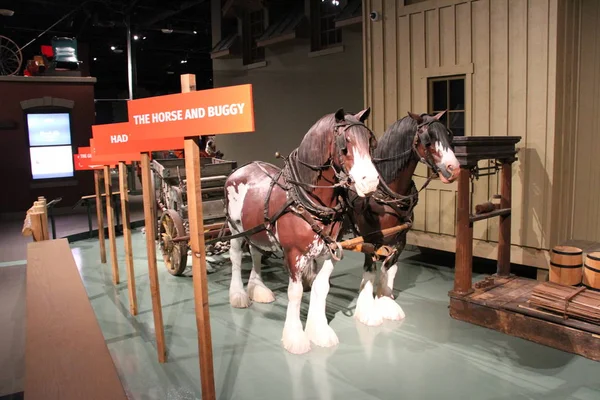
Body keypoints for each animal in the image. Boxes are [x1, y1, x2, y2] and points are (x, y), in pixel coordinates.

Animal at [223, 108, 382, 354]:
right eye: (344, 146)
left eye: (369, 143)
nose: (372, 181)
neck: (306, 199)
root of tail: (240, 169)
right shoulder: (294, 254)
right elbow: (295, 293)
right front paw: (295, 336)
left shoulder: (328, 253)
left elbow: (321, 288)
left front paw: (319, 331)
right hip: (235, 227)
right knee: (236, 257)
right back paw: (238, 294)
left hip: (257, 231)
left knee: (257, 254)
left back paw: (257, 288)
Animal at [346, 111, 460, 326]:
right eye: (428, 139)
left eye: (449, 136)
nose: (454, 169)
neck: (384, 193)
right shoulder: (368, 239)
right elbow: (370, 269)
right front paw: (367, 310)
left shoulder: (400, 238)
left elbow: (388, 267)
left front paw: (385, 300)